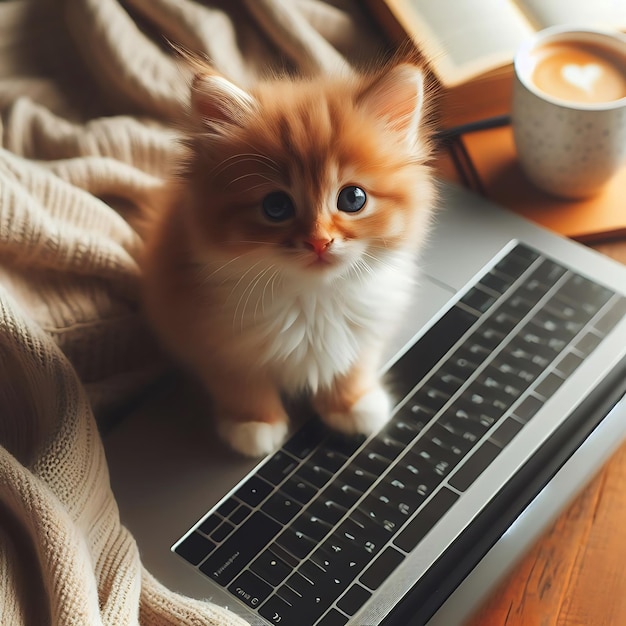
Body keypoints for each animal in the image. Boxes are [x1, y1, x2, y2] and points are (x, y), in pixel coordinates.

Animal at [140, 61, 434, 456]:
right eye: (276, 206)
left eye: (353, 198)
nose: (319, 242)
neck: (313, 300)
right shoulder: (214, 338)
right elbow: (241, 383)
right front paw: (254, 425)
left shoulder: (367, 326)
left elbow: (352, 365)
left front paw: (353, 405)